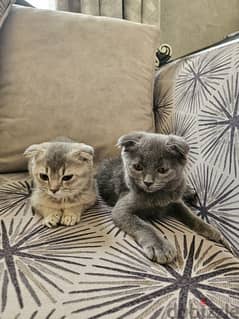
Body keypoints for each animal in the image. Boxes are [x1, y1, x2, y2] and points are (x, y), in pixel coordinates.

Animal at [97, 132, 232, 264]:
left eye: (162, 170)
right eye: (138, 167)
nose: (148, 182)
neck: (158, 195)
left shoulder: (175, 201)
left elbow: (190, 215)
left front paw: (211, 230)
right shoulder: (121, 209)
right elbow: (144, 226)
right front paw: (160, 247)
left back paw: (188, 190)